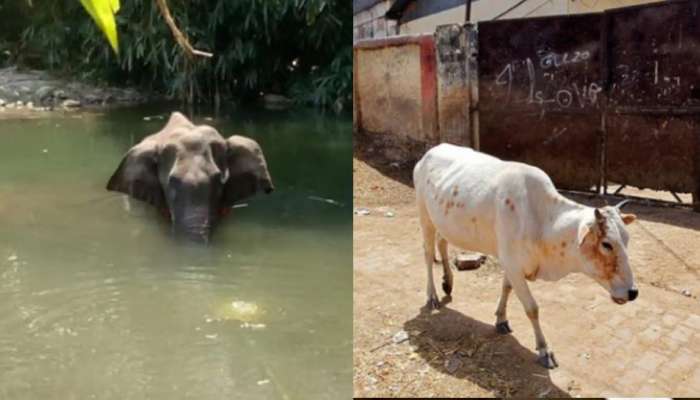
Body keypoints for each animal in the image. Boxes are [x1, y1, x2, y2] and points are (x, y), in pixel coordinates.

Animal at [412, 144, 636, 368]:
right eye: (607, 244)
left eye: (626, 239)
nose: (633, 292)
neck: (541, 221)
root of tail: (430, 152)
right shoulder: (512, 263)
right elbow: (532, 308)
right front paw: (544, 350)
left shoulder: (510, 263)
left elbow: (506, 288)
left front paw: (501, 319)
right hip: (425, 217)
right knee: (428, 254)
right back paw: (432, 296)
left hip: (443, 222)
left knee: (442, 243)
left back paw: (447, 283)